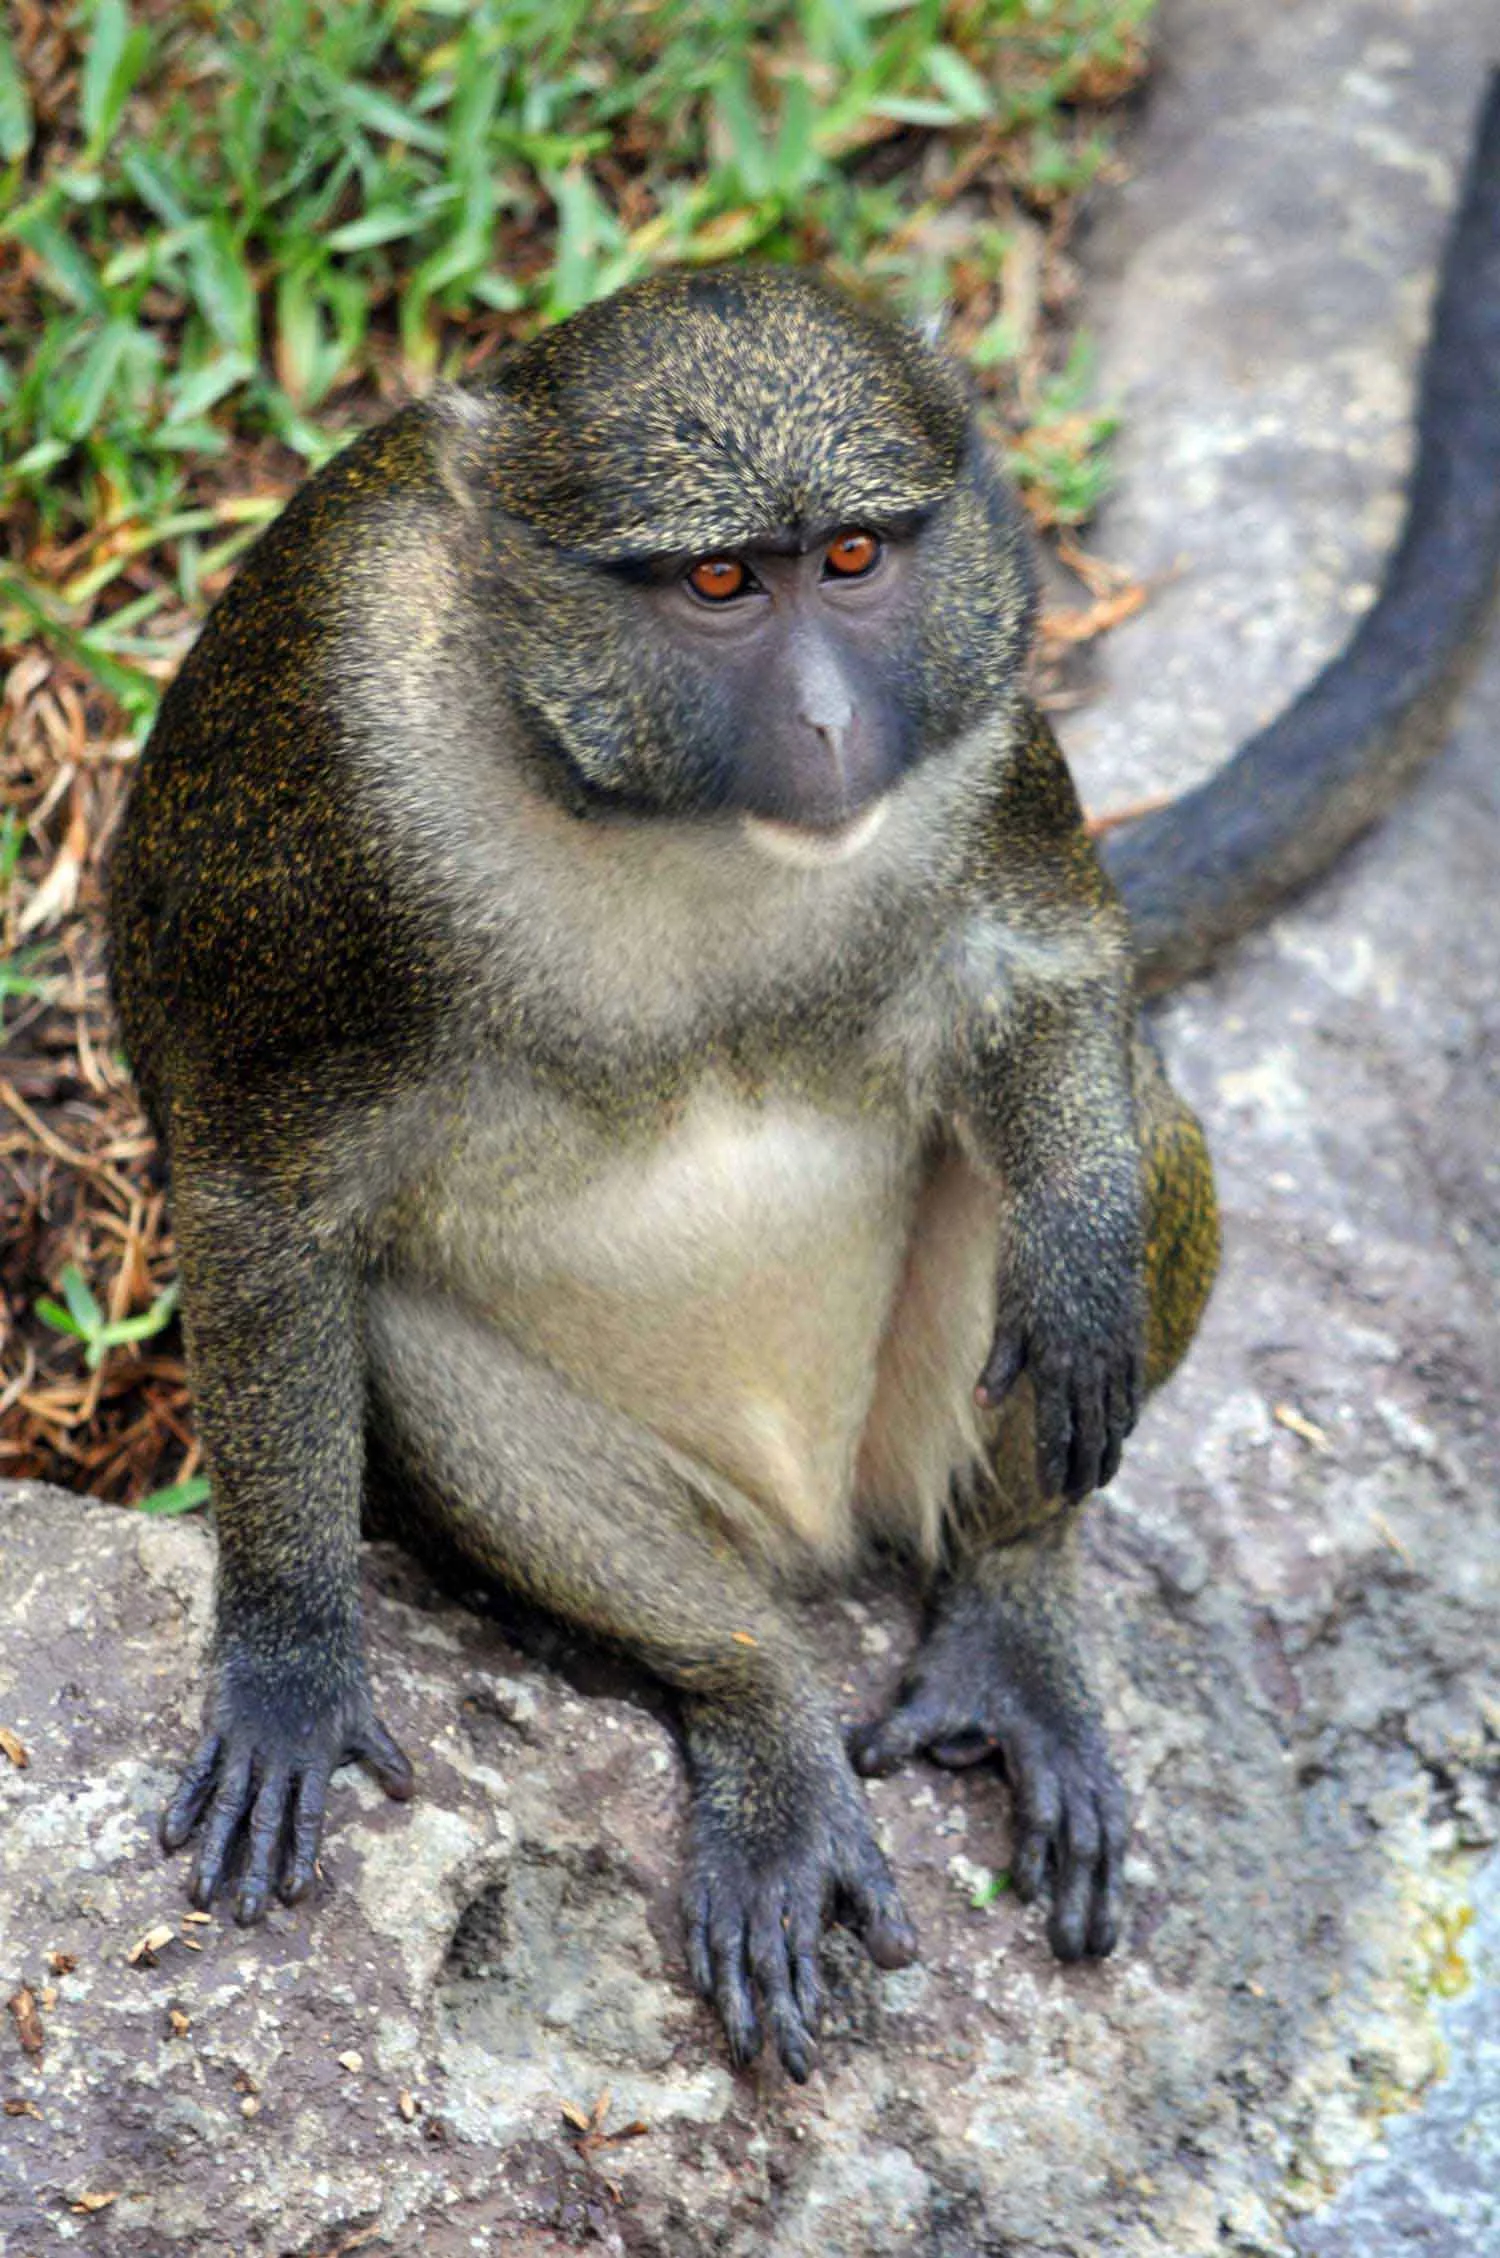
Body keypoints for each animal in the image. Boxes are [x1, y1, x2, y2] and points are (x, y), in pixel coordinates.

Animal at [106, 74, 1500, 2084]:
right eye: (715, 583)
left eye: (852, 559)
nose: (840, 722)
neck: (643, 799)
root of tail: (810, 1505)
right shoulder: (326, 761)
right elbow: (261, 1198)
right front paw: (290, 1654)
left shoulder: (984, 697)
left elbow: (1051, 974)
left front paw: (1081, 1249)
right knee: (430, 1369)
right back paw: (755, 1697)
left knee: (1122, 1136)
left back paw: (1012, 1608)